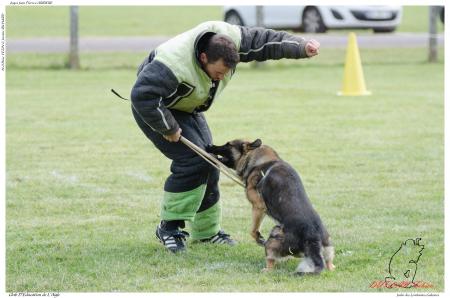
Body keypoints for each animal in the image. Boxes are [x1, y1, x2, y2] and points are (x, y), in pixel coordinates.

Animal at [207, 140, 334, 274]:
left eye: (228, 144)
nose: (209, 146)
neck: (261, 160)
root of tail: (313, 236)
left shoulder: (258, 206)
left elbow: (253, 230)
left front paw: (258, 238)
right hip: (328, 245)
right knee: (329, 263)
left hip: (273, 238)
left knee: (270, 260)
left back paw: (266, 269)